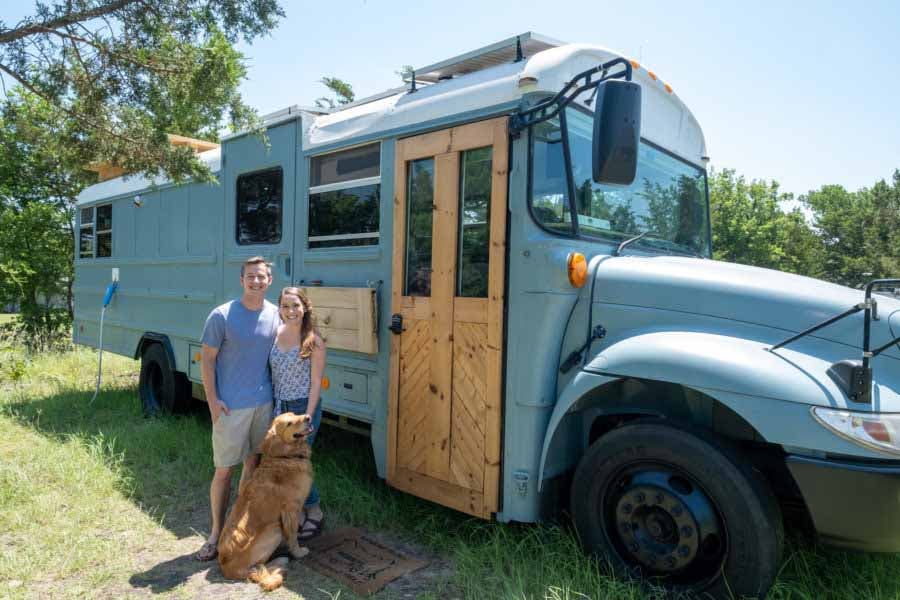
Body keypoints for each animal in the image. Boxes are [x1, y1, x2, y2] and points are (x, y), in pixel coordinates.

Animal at [217, 412, 312, 592]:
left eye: (295, 414)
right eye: (289, 423)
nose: (308, 417)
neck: (283, 456)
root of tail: (225, 568)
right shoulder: (291, 510)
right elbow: (293, 536)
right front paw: (298, 552)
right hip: (274, 529)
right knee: (259, 566)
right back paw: (280, 561)